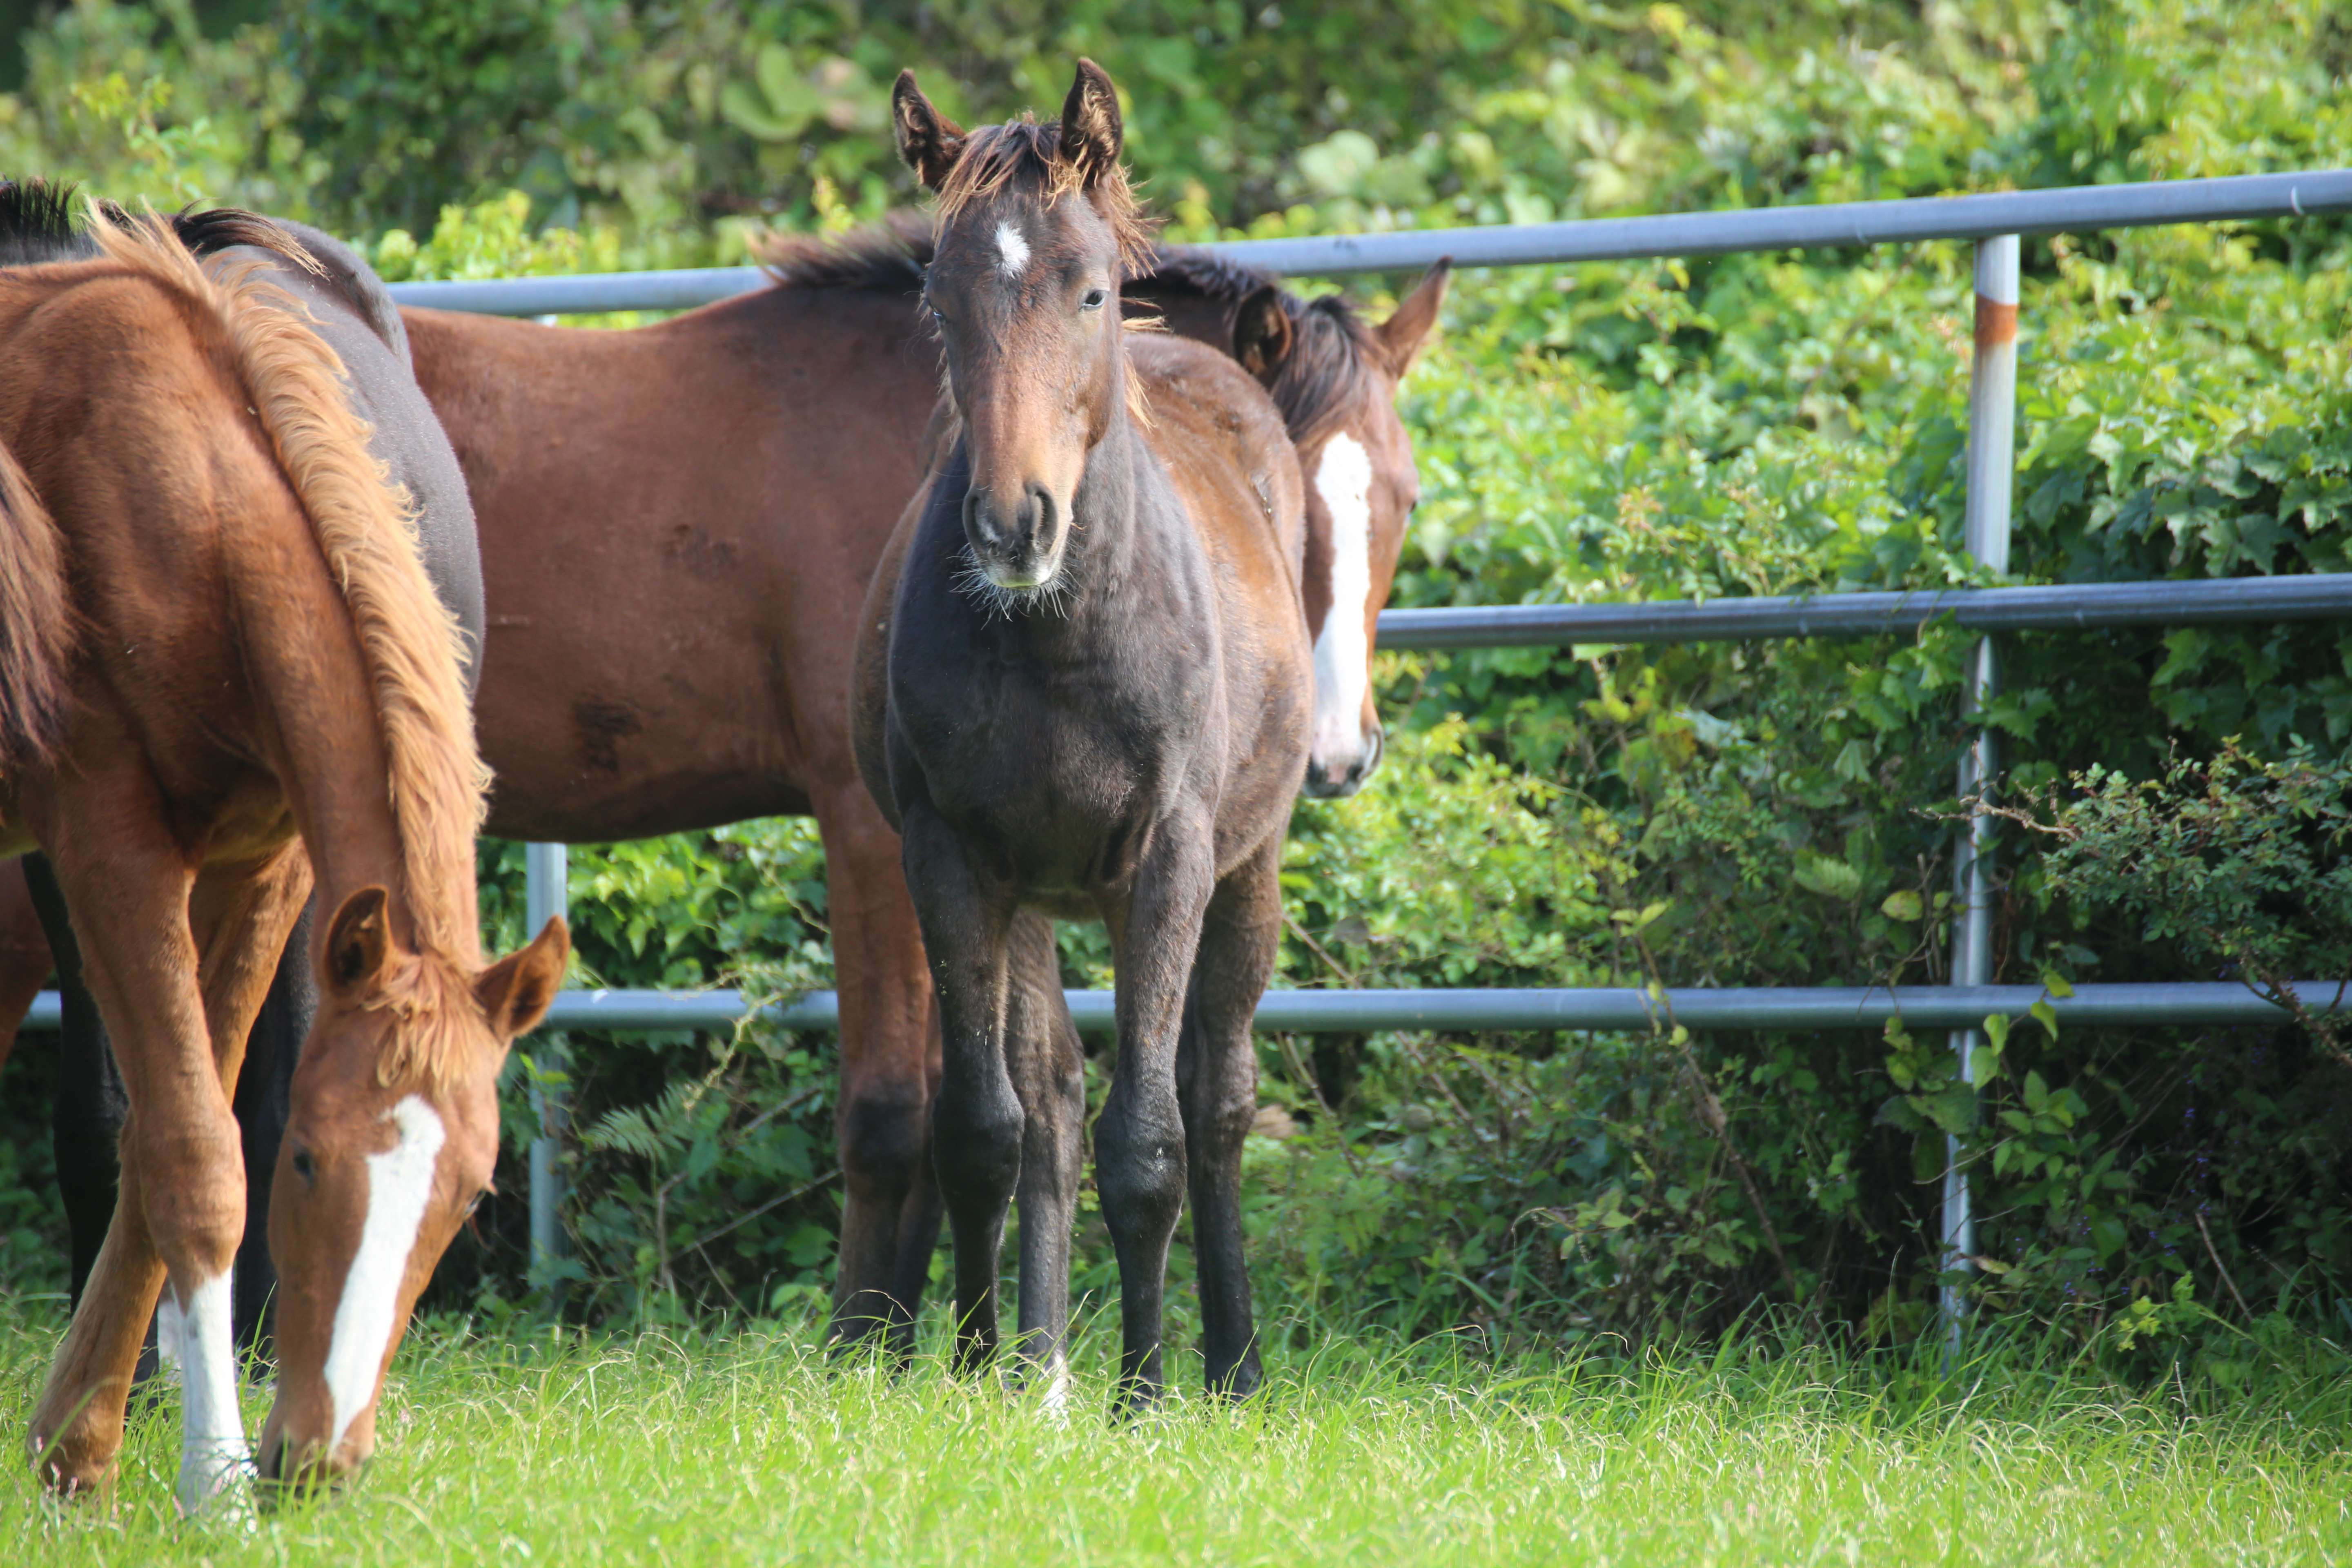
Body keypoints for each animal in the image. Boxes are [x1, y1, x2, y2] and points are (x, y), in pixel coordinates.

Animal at [0, 196, 564, 1504]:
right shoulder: (105, 844)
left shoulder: (264, 862)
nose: (320, 1457)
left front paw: (79, 1445)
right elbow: (194, 1153)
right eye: (309, 1163)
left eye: (472, 1193)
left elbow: (175, 1136)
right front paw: (208, 1482)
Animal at [861, 64, 1317, 1410]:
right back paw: (1036, 1362)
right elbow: (987, 1128)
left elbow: (1149, 1139)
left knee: (1217, 1099)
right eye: (939, 300)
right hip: (1030, 902)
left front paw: (1148, 1391)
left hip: (1245, 872)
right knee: (1048, 1103)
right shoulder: (955, 860)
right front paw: (978, 1371)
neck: (1054, 641)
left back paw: (1230, 1364)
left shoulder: (1164, 864)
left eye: (1092, 289)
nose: (1014, 523)